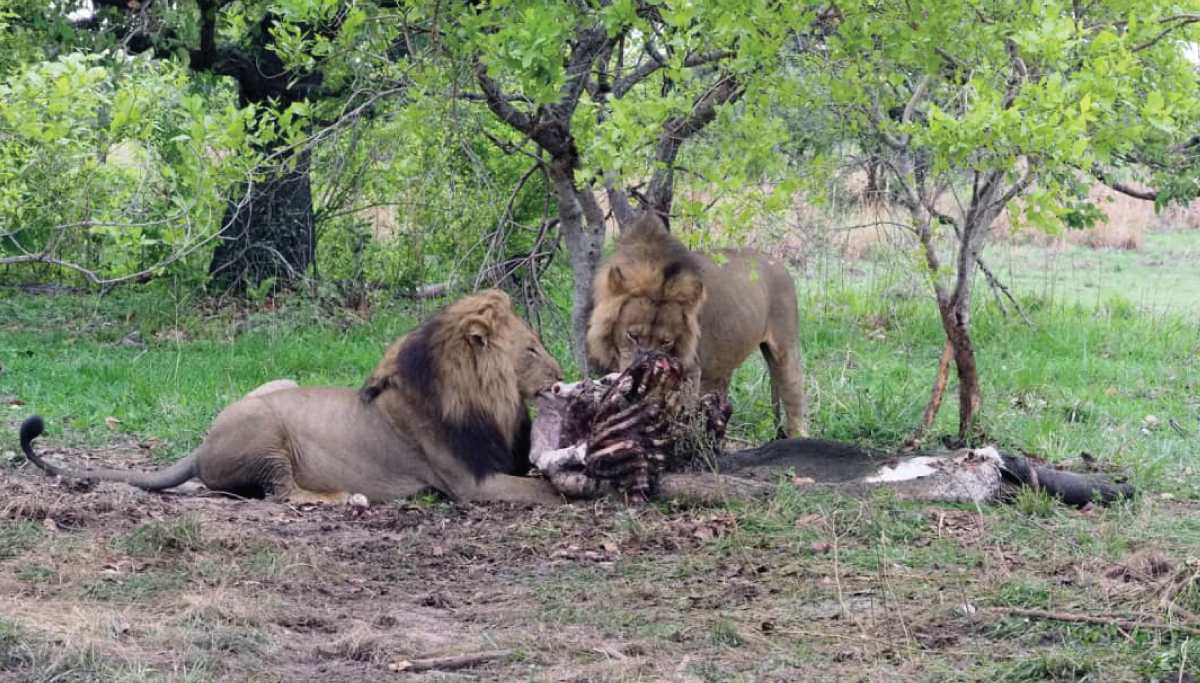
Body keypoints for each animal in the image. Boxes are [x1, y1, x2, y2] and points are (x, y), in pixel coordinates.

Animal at [19, 289, 567, 506]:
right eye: (532, 348)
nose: (562, 374)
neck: (491, 400)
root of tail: (202, 445)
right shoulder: (469, 484)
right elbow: (544, 492)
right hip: (265, 427)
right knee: (283, 494)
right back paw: (346, 498)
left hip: (279, 384)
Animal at [586, 213, 807, 437]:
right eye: (632, 335)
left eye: (666, 342)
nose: (647, 371)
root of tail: (778, 263)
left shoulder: (691, 371)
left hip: (785, 348)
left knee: (795, 399)